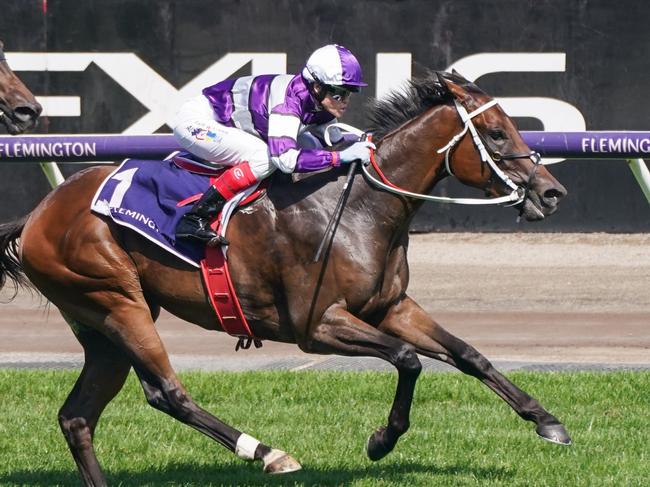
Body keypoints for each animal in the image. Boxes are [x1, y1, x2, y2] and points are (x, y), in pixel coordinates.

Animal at [0, 70, 564, 486]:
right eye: (497, 133)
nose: (551, 192)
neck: (359, 207)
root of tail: (36, 215)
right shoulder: (318, 326)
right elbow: (407, 359)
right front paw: (382, 439)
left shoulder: (391, 307)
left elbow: (467, 354)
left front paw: (547, 420)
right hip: (117, 302)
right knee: (167, 393)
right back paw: (268, 452)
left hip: (101, 326)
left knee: (78, 417)